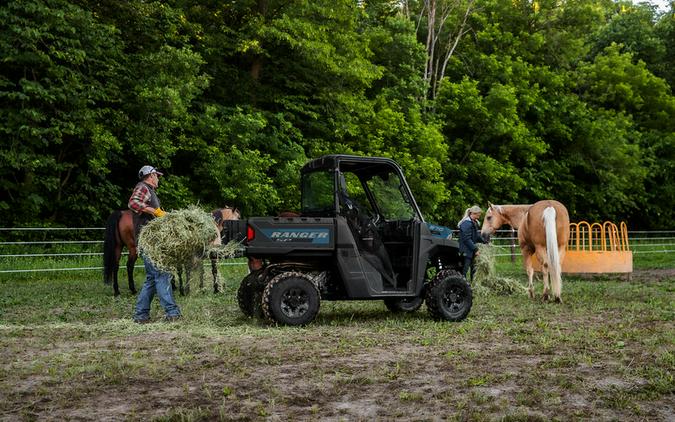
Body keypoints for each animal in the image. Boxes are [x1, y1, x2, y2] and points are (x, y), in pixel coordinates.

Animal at [104, 206, 242, 296]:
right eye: (238, 217)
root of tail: (121, 213)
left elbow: (198, 271)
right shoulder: (210, 254)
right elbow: (212, 271)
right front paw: (215, 289)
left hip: (118, 247)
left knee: (116, 266)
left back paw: (117, 290)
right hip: (133, 248)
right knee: (129, 266)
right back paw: (132, 289)